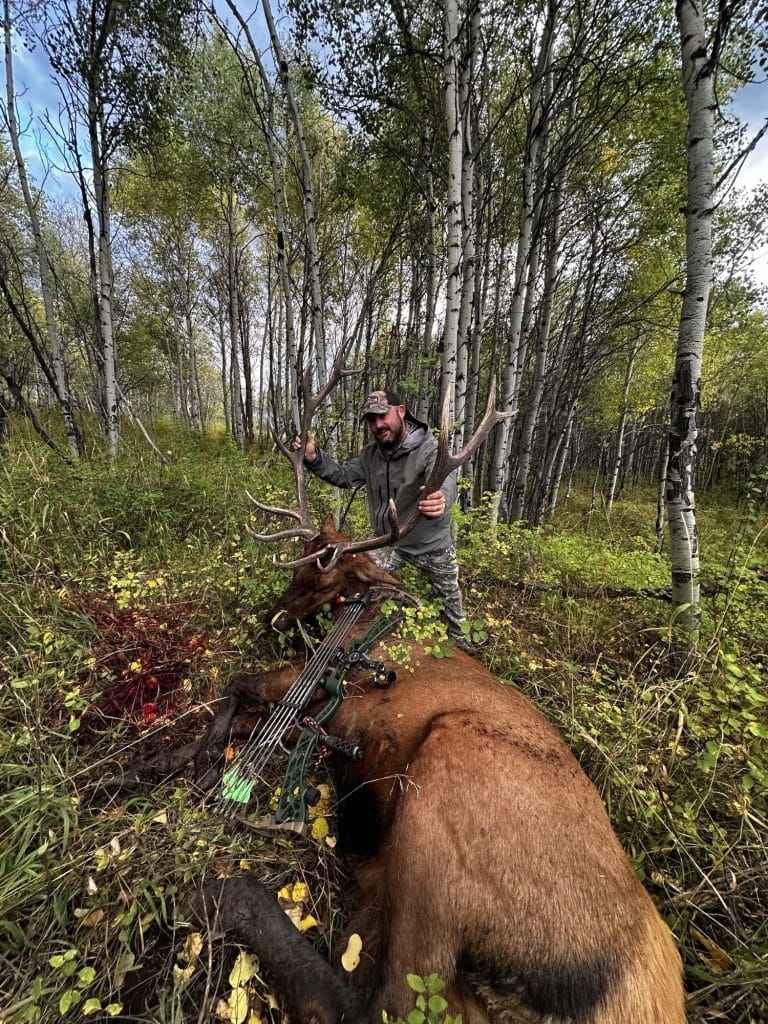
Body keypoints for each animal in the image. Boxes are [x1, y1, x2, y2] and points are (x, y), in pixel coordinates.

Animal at [188, 377, 686, 1024]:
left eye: (322, 574)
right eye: (301, 565)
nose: (270, 615)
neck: (365, 610)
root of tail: (626, 996)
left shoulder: (329, 690)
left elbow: (240, 683)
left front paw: (198, 765)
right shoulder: (325, 717)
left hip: (442, 798)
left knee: (374, 1001)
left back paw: (222, 893)